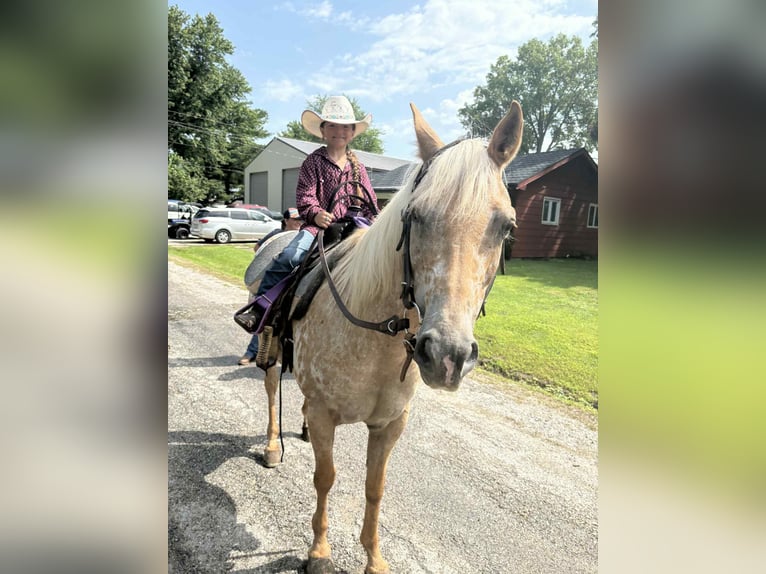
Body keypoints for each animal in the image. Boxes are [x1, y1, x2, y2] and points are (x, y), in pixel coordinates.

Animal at [250, 101, 523, 574]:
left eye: (506, 227)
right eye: (415, 216)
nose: (447, 356)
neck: (373, 337)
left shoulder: (390, 424)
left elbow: (374, 488)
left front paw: (374, 558)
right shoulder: (325, 414)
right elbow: (326, 477)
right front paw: (319, 551)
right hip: (271, 356)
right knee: (270, 395)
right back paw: (270, 447)